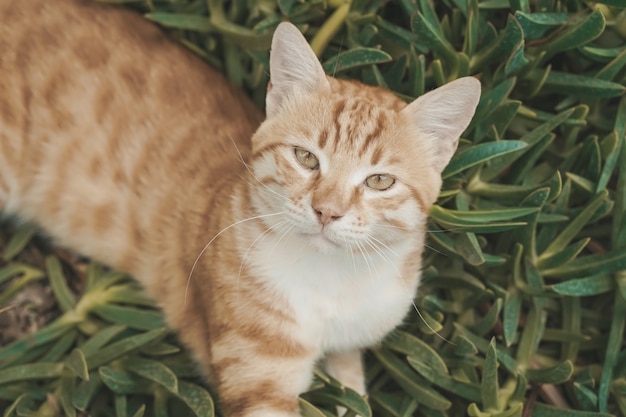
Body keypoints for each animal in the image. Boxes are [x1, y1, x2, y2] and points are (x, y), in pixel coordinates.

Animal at [0, 1, 480, 414]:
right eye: (306, 158)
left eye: (380, 181)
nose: (327, 211)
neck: (330, 284)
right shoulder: (260, 378)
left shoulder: (351, 345)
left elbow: (351, 390)